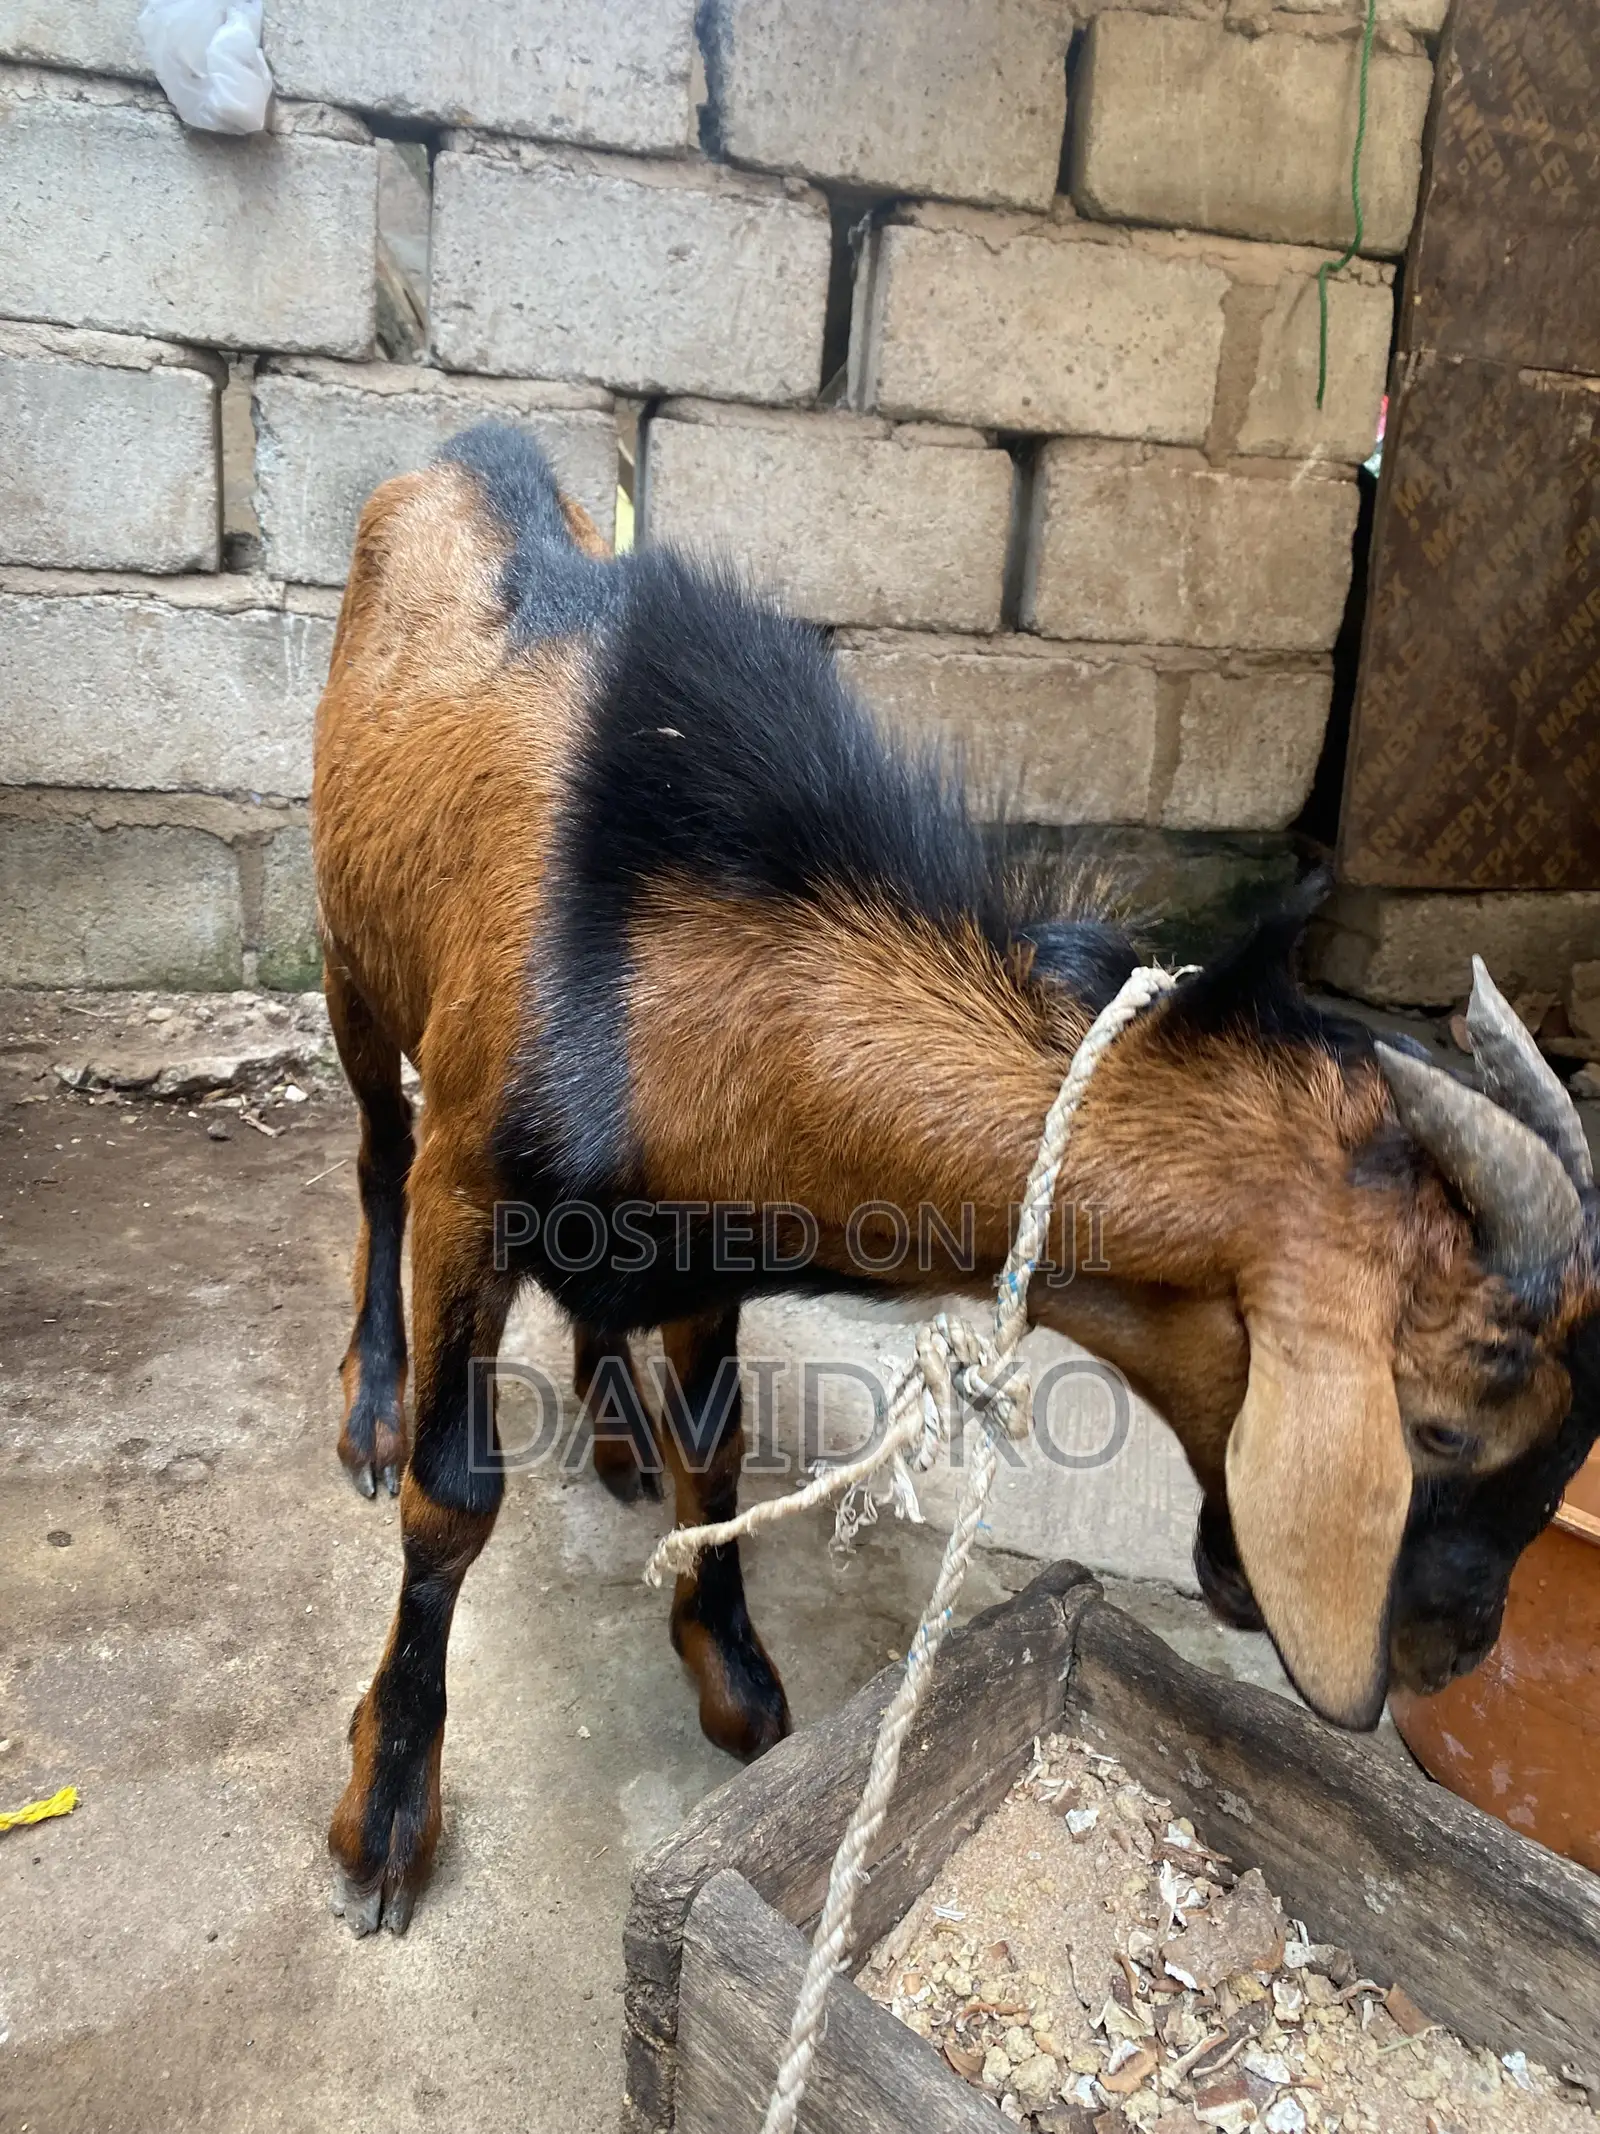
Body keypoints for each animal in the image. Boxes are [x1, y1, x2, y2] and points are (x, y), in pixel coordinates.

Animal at [313, 424, 1600, 1934]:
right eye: (1442, 1427)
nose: (1455, 1651)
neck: (645, 948)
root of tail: (470, 450)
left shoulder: (709, 1234)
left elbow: (718, 1446)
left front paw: (736, 1675)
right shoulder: (475, 1185)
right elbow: (454, 1496)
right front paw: (387, 1811)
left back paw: (613, 1422)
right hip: (350, 960)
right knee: (373, 1156)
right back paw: (371, 1404)